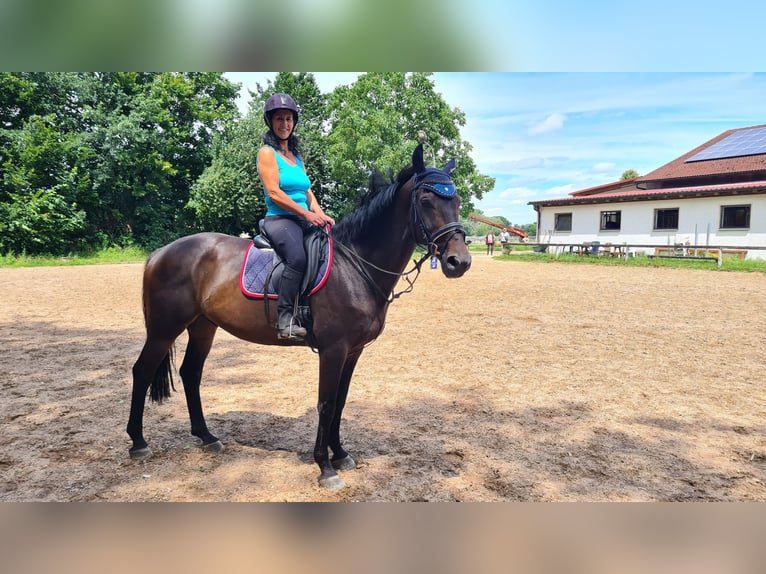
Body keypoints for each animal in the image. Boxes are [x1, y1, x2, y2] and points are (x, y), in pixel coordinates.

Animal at [127, 144, 474, 490]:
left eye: (456, 201)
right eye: (426, 201)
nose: (459, 262)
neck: (355, 265)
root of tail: (160, 253)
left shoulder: (353, 351)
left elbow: (340, 402)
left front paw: (340, 454)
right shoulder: (333, 349)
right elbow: (326, 403)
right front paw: (325, 466)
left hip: (202, 326)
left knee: (190, 373)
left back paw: (207, 437)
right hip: (164, 328)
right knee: (142, 371)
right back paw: (138, 443)